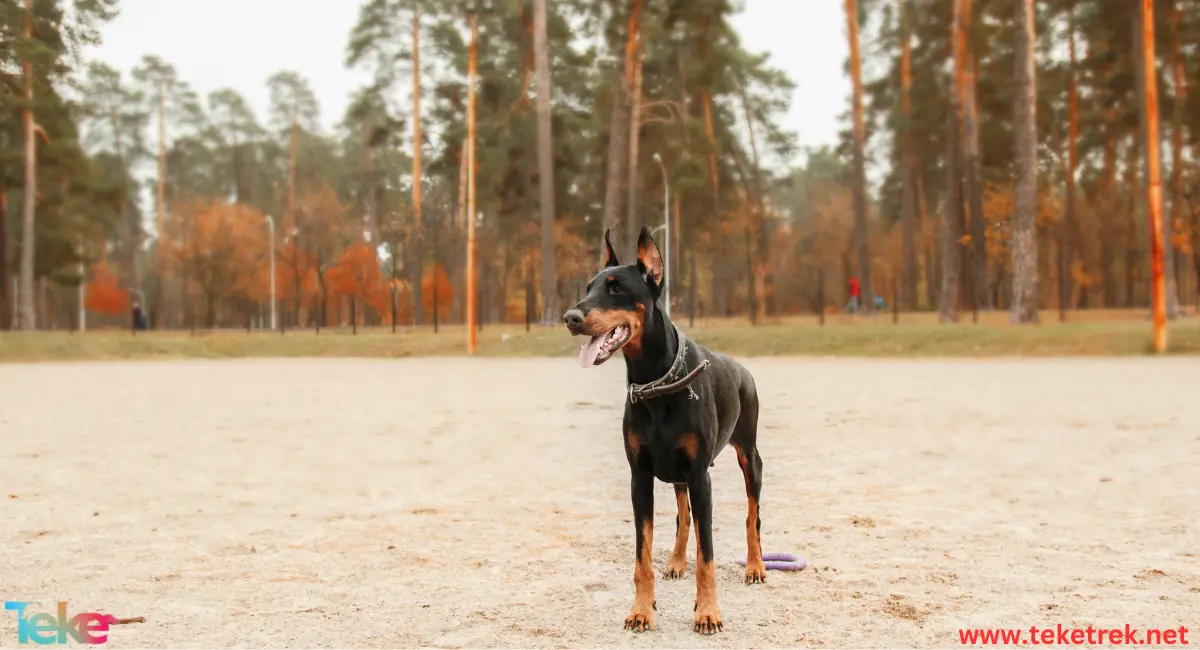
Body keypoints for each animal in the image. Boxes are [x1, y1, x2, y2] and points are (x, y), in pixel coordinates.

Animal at [564, 226, 768, 633]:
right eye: (589, 286)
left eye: (616, 288)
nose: (570, 317)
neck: (654, 382)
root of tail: (742, 369)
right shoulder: (640, 476)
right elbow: (642, 554)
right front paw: (642, 609)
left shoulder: (700, 476)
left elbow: (707, 556)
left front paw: (707, 612)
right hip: (676, 474)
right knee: (682, 515)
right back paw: (675, 560)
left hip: (748, 457)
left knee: (751, 515)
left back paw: (755, 566)